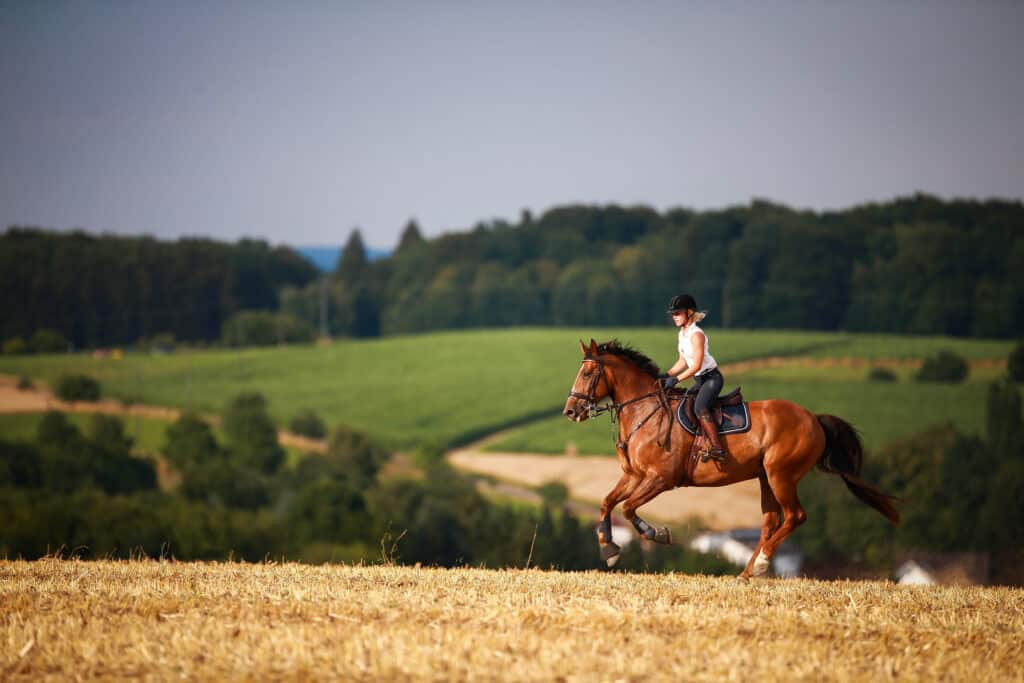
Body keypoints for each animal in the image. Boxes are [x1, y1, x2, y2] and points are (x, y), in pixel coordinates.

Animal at [563, 339, 899, 578]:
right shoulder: (634, 475)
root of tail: (814, 419)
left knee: (795, 516)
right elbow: (608, 502)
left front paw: (657, 533)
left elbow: (629, 508)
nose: (570, 411)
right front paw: (609, 550)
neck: (646, 411)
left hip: (781, 474)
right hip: (765, 477)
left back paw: (761, 564)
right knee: (771, 521)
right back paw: (747, 572)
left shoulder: (660, 478)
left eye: (588, 373)